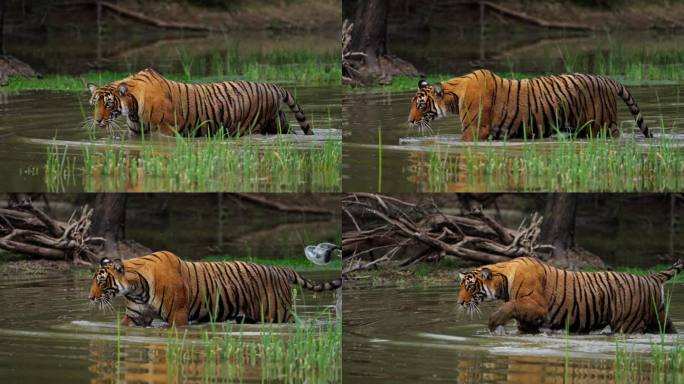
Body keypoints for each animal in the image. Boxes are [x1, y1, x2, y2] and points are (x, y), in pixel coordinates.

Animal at [85, 68, 312, 137]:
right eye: (95, 103)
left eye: (108, 104)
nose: (97, 121)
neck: (132, 107)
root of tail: (273, 86)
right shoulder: (137, 132)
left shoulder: (167, 130)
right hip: (278, 123)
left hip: (251, 127)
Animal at [88, 252, 340, 328]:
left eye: (101, 281)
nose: (90, 298)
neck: (136, 288)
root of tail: (281, 269)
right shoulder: (135, 317)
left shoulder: (178, 316)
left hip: (277, 314)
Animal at [456, 256, 680, 334]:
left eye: (470, 286)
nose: (459, 303)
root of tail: (652, 278)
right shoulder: (528, 320)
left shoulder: (536, 306)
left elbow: (511, 306)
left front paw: (493, 323)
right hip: (659, 318)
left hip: (628, 323)